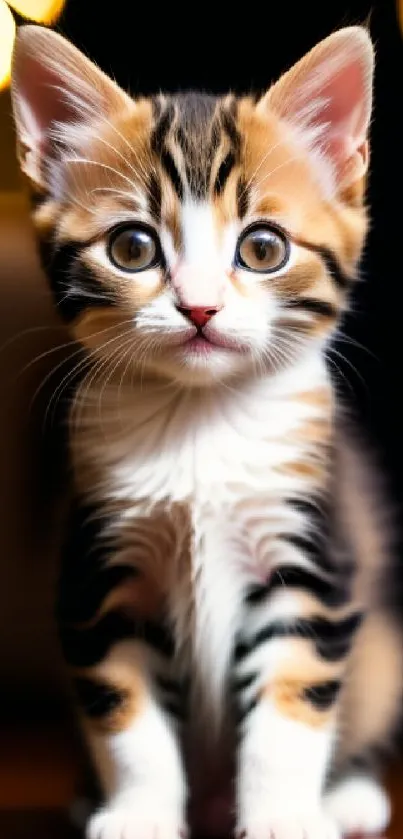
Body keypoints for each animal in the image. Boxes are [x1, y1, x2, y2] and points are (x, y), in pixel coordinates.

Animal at [9, 23, 403, 839]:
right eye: (132, 248)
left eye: (263, 248)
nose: (198, 308)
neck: (199, 421)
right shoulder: (100, 576)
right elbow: (127, 713)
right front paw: (139, 812)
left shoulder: (311, 559)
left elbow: (292, 705)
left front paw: (284, 816)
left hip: (385, 652)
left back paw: (349, 793)